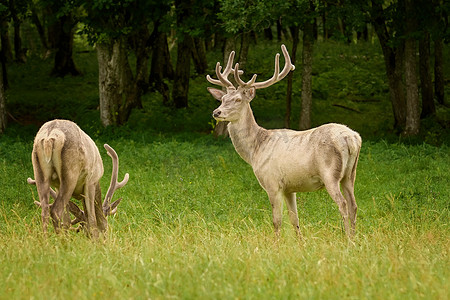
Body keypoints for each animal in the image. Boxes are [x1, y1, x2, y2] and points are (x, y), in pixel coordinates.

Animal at [207, 44, 362, 238]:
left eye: (237, 99)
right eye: (222, 99)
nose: (216, 112)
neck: (255, 150)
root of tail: (351, 138)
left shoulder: (272, 182)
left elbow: (277, 220)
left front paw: (276, 242)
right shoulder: (290, 187)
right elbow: (295, 219)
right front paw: (301, 242)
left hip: (330, 173)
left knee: (343, 204)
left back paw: (347, 238)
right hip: (350, 173)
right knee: (354, 204)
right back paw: (355, 238)